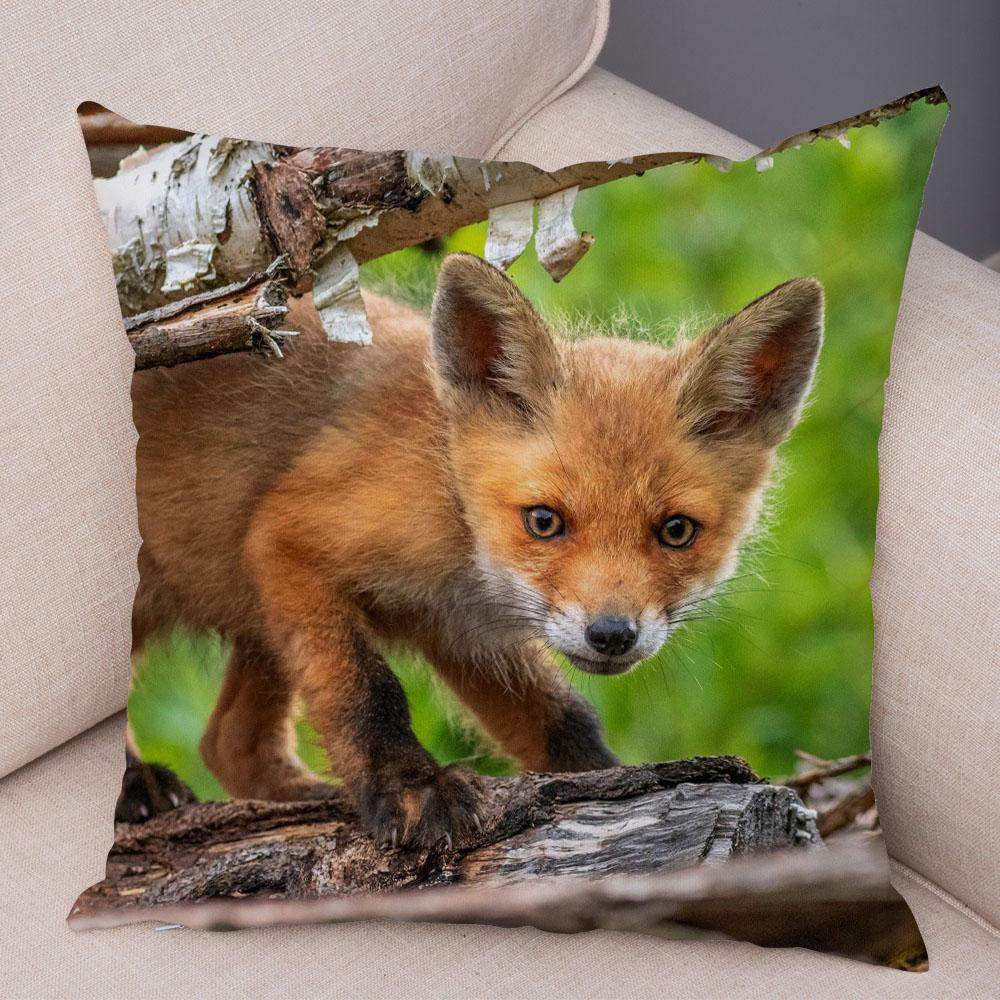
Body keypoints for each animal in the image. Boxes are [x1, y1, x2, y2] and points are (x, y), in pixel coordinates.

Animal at [130, 252, 823, 847]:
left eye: (677, 531)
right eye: (544, 521)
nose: (611, 635)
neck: (452, 508)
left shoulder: (460, 629)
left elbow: (562, 719)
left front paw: (610, 780)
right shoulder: (288, 541)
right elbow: (367, 689)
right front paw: (410, 787)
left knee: (229, 743)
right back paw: (137, 786)